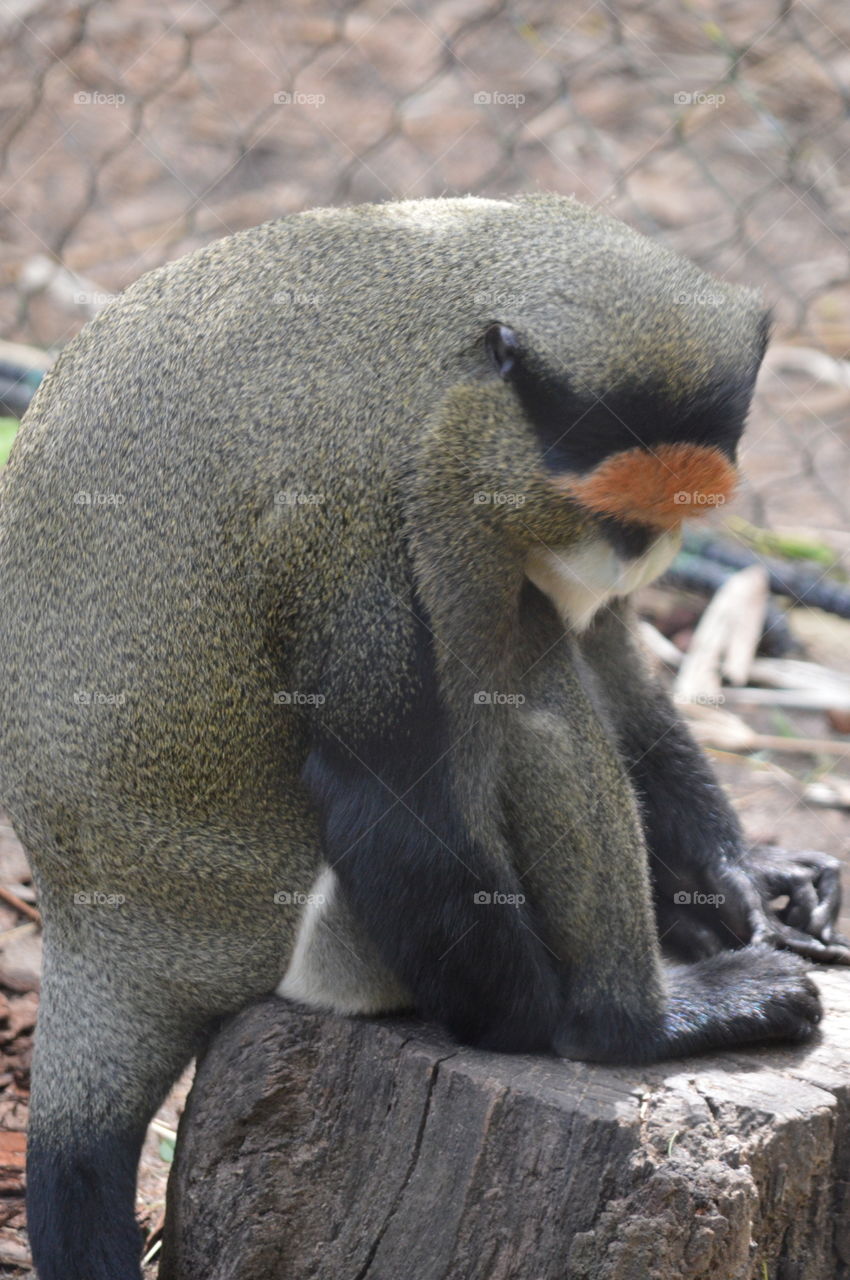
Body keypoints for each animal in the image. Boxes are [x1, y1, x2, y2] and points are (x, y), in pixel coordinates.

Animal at [0, 193, 846, 1280]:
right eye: (603, 508)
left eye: (669, 516)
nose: (632, 555)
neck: (444, 334)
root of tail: (111, 939)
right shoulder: (366, 514)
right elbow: (389, 788)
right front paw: (580, 1026)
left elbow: (608, 646)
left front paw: (749, 878)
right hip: (339, 951)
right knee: (522, 669)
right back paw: (637, 1020)